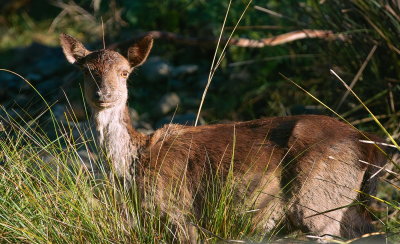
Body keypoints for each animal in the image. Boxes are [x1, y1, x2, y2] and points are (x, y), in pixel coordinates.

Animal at [59, 33, 388, 243]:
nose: (104, 94)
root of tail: (368, 145)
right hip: (346, 208)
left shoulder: (181, 214)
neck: (135, 167)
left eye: (125, 72)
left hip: (319, 203)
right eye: (87, 72)